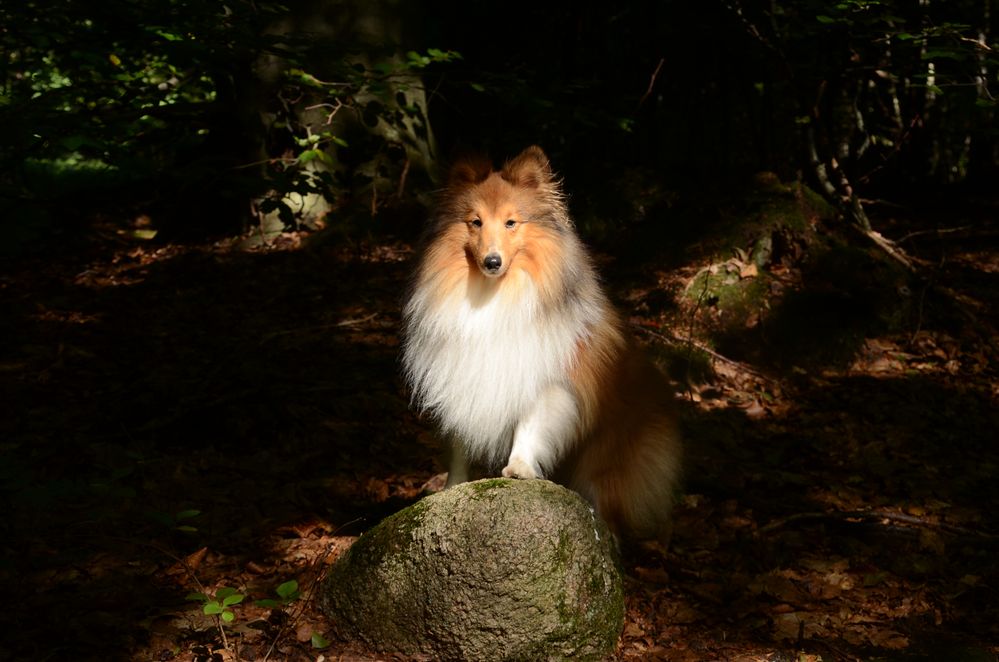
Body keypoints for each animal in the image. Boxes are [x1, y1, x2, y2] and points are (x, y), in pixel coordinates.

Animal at [402, 148, 684, 548]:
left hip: (608, 465)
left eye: (511, 223)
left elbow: (530, 421)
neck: (494, 295)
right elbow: (459, 444)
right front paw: (451, 487)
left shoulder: (543, 375)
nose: (491, 262)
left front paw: (519, 467)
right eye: (475, 222)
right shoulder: (460, 376)